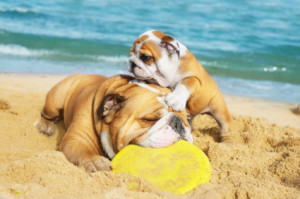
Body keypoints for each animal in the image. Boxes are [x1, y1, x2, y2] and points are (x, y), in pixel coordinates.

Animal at [35, 74, 192, 172]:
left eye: (187, 120)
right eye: (149, 119)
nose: (178, 123)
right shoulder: (76, 138)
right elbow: (82, 151)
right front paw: (95, 161)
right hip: (56, 101)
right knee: (46, 112)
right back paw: (45, 126)